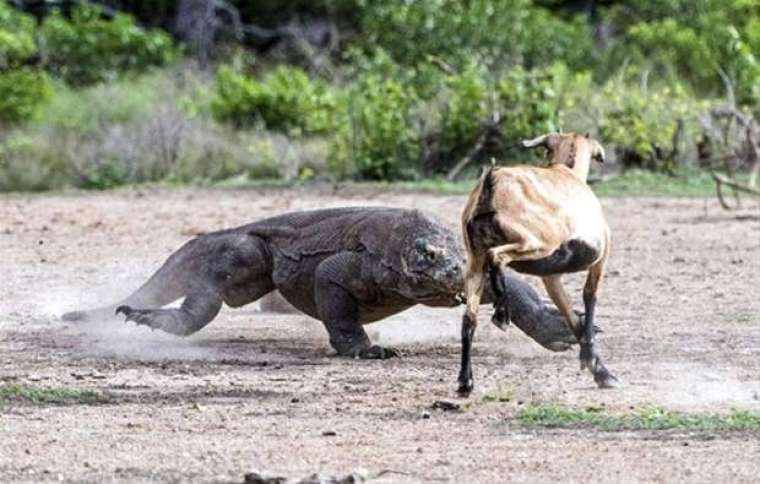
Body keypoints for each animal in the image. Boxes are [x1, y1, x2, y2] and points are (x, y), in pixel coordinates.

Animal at [458, 131, 616, 394]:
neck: (568, 173)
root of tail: (492, 182)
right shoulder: (599, 257)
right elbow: (589, 298)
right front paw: (602, 372)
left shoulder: (551, 277)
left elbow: (571, 316)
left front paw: (595, 367)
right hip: (535, 241)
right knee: (497, 256)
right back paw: (502, 314)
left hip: (474, 260)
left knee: (469, 319)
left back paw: (465, 382)